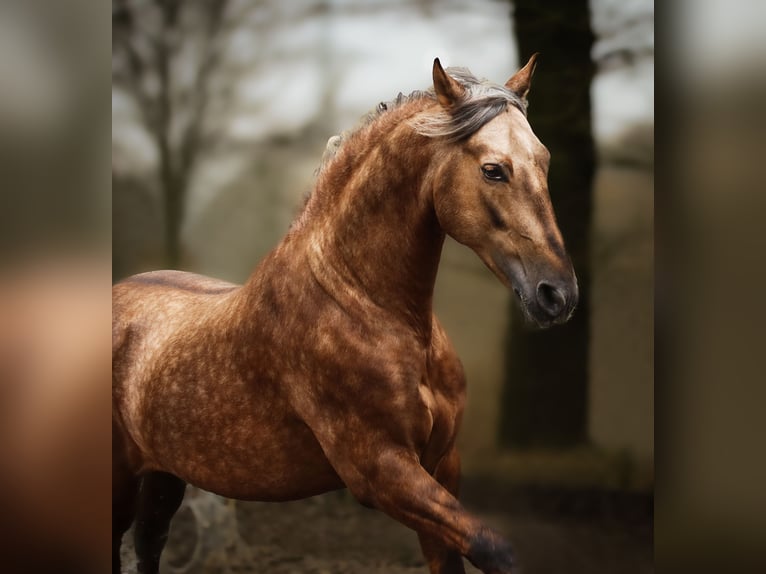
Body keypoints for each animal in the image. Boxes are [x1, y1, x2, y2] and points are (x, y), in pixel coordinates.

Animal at [112, 56, 576, 574]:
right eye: (493, 170)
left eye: (544, 159)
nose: (556, 294)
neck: (364, 303)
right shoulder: (381, 471)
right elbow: (495, 548)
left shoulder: (440, 465)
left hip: (163, 478)